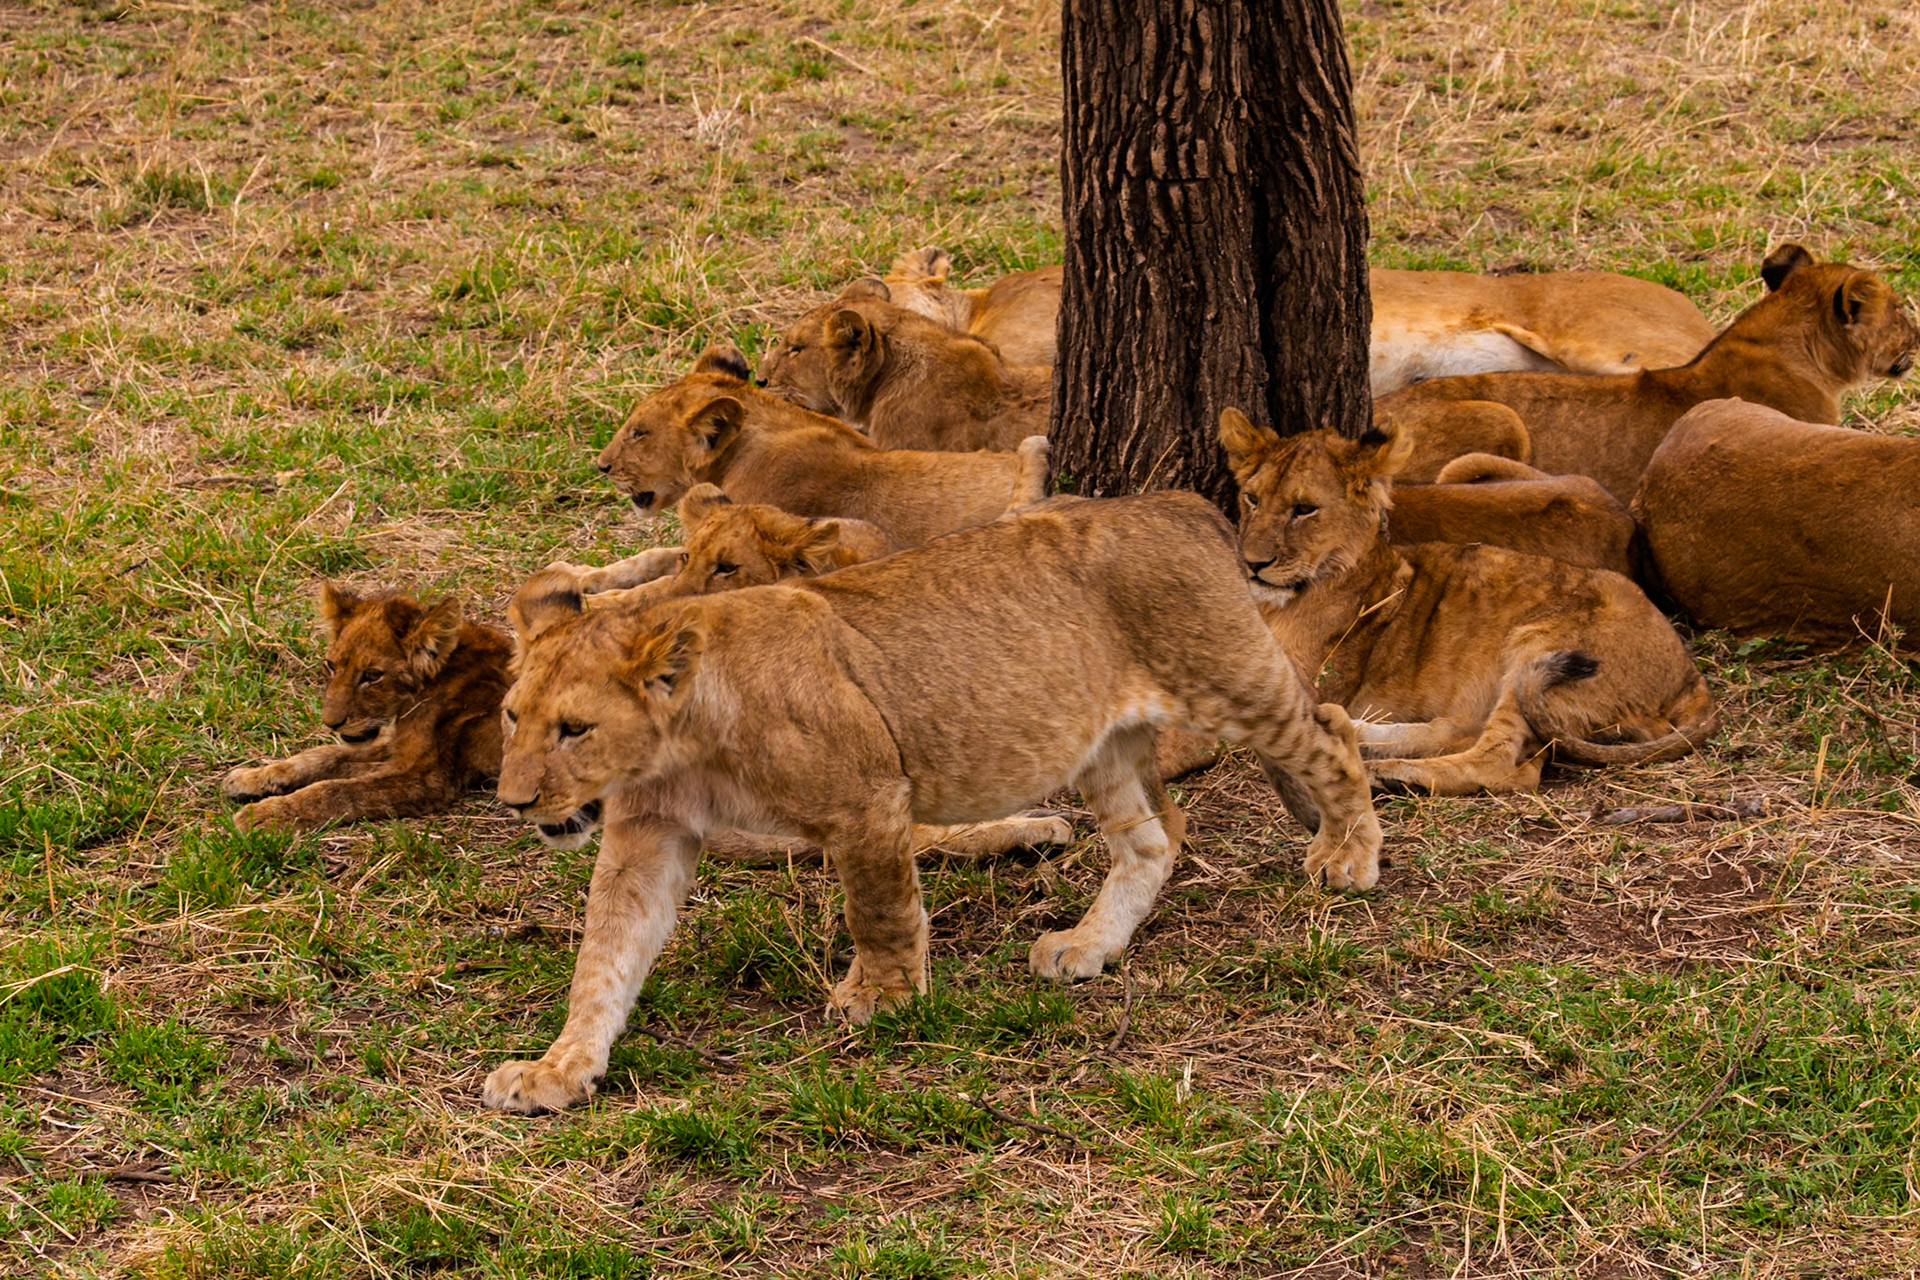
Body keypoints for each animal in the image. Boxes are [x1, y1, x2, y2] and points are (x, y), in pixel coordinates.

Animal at [220, 585, 512, 832]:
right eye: (331, 666)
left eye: (372, 676)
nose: (331, 723)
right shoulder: (390, 741)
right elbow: (325, 755)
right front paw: (251, 777)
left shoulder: (428, 779)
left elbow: (337, 789)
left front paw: (265, 814)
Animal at [481, 491, 1382, 1113]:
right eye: (513, 715)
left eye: (575, 728)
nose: (515, 801)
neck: (686, 736)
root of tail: (1178, 503)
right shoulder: (647, 833)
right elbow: (605, 959)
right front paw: (558, 1069)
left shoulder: (869, 795)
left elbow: (877, 907)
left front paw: (882, 997)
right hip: (1100, 740)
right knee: (1153, 840)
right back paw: (1088, 946)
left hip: (1227, 678)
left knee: (1332, 733)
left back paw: (1348, 856)